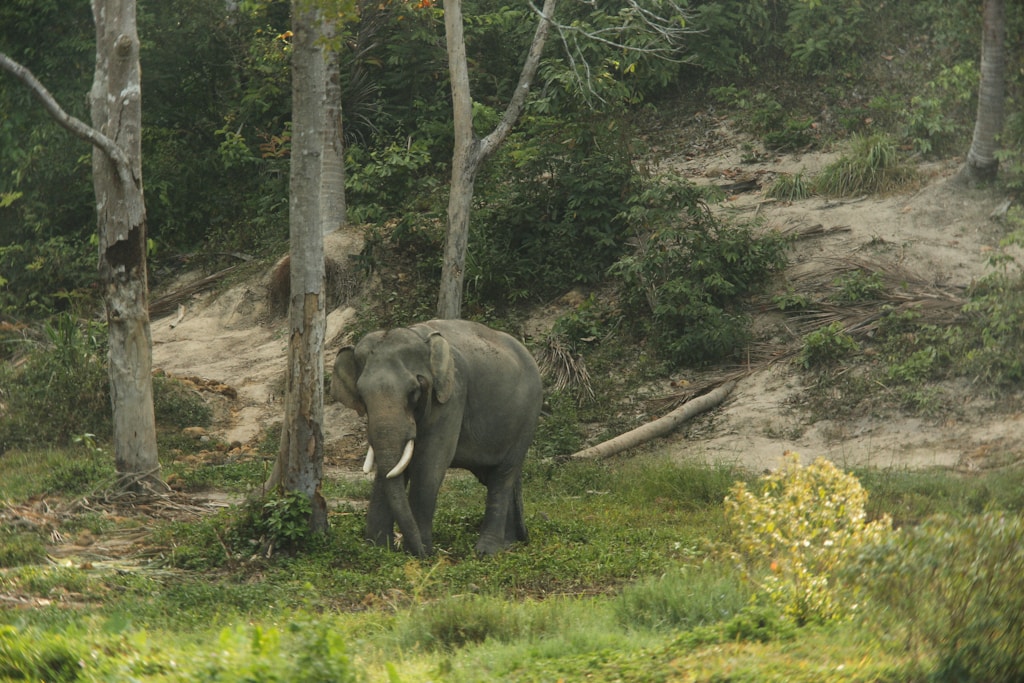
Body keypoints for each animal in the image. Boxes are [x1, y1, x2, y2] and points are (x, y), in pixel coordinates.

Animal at [331, 319, 543, 557]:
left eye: (414, 391)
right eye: (362, 396)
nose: (422, 554)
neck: (418, 334)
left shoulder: (452, 395)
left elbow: (430, 463)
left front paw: (420, 551)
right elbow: (394, 469)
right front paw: (377, 549)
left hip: (529, 416)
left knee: (503, 475)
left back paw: (486, 552)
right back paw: (509, 543)